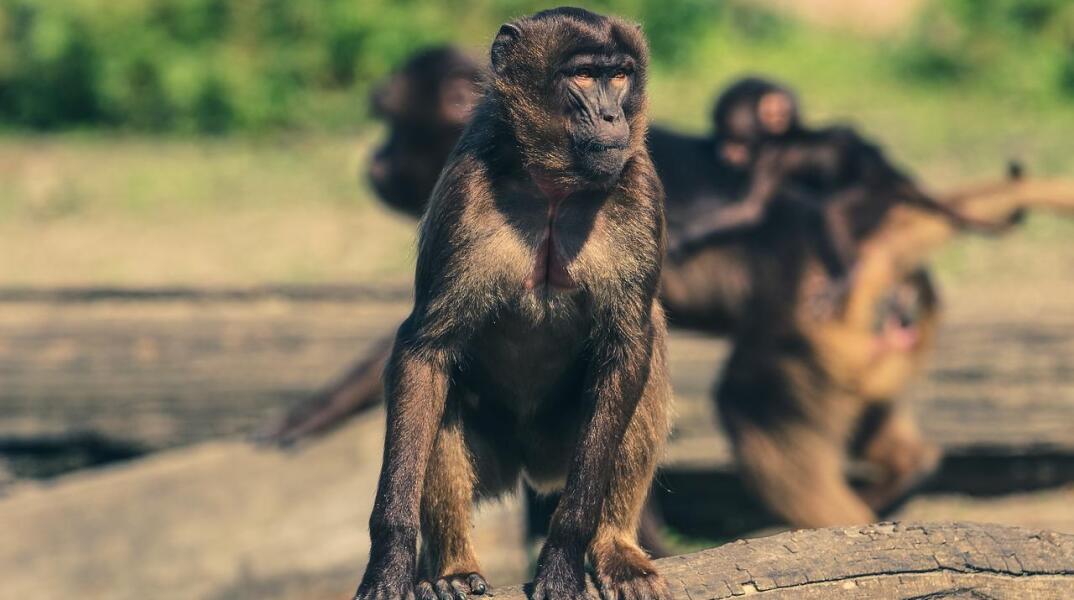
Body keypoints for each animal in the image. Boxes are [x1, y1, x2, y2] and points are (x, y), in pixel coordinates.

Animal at [352, 8, 670, 600]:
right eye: (584, 75)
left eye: (619, 74)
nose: (613, 115)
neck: (552, 190)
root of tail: (529, 465)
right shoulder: (464, 191)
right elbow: (424, 352)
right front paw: (389, 560)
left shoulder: (640, 186)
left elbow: (628, 346)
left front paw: (564, 555)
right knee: (440, 389)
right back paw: (454, 566)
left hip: (561, 448)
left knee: (648, 349)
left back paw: (615, 545)